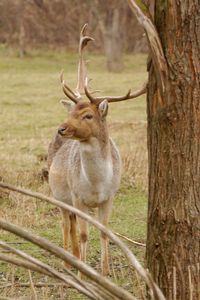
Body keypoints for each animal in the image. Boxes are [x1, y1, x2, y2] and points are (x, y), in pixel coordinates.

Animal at [47, 24, 147, 276]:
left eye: (88, 115)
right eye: (72, 112)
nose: (62, 128)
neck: (95, 184)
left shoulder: (109, 196)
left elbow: (104, 231)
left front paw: (105, 271)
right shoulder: (77, 195)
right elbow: (83, 233)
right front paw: (83, 272)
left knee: (71, 223)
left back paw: (74, 258)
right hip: (57, 193)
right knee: (66, 223)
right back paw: (67, 262)